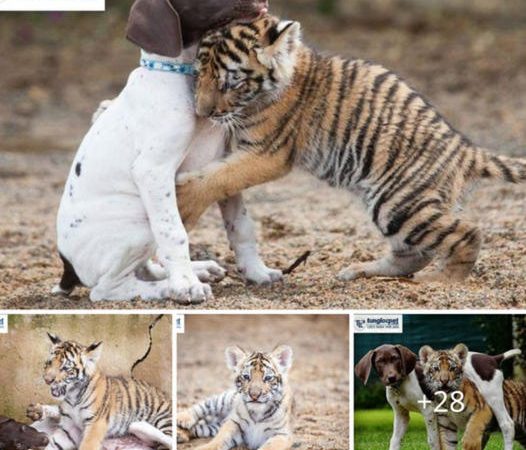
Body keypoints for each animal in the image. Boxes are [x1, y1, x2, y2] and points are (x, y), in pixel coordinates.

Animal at [54, 0, 282, 304]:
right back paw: (168, 287)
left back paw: (196, 270)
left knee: (145, 267)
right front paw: (186, 286)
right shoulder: (153, 171)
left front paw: (257, 271)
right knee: (107, 289)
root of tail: (68, 266)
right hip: (138, 227)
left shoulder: (225, 166)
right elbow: (174, 233)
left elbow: (240, 225)